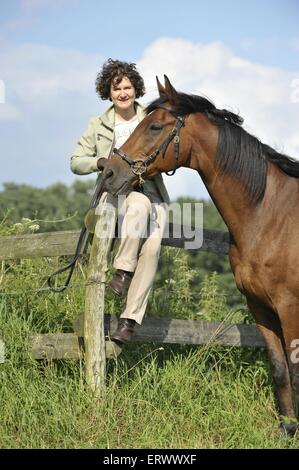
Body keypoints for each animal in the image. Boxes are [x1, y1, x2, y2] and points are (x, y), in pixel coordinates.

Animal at [103, 76, 299, 434]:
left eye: (154, 126)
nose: (109, 172)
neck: (272, 214)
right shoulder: (261, 307)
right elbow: (280, 369)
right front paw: (288, 430)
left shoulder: (290, 307)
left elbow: (295, 370)